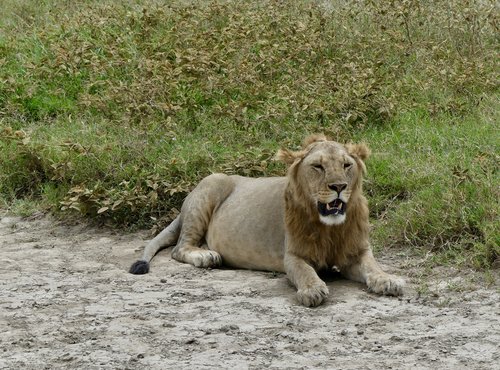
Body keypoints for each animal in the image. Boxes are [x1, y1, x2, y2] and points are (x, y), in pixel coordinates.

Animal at [129, 133, 402, 306]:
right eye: (318, 167)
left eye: (346, 165)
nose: (339, 187)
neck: (330, 228)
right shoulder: (293, 255)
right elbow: (304, 272)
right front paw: (312, 290)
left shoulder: (356, 252)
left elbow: (372, 266)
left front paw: (388, 280)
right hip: (211, 185)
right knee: (179, 248)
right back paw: (206, 256)